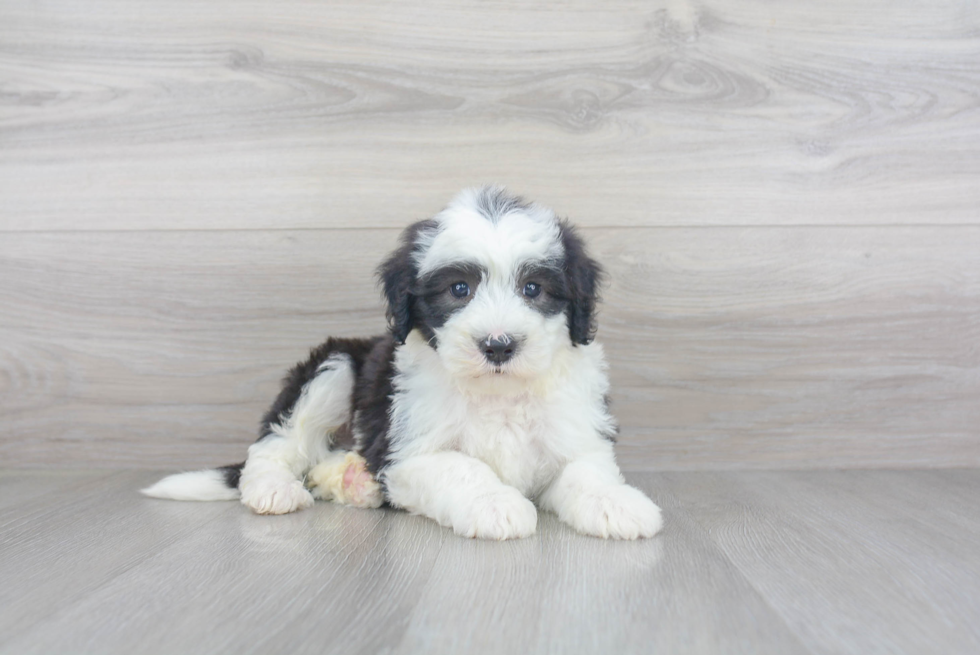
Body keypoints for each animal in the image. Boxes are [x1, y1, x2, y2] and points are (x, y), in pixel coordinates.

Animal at [144, 187, 668, 540]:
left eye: (533, 289)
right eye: (459, 289)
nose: (498, 345)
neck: (496, 392)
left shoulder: (576, 436)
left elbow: (587, 472)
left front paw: (618, 505)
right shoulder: (408, 452)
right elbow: (462, 468)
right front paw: (496, 505)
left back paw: (353, 482)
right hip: (336, 366)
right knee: (277, 444)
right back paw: (276, 490)